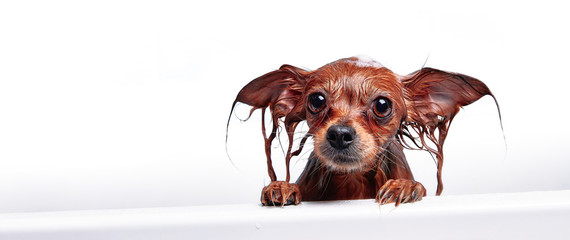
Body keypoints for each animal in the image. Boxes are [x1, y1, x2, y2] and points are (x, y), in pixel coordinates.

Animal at [229, 56, 494, 206]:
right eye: (316, 100)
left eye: (382, 105)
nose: (339, 134)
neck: (352, 179)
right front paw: (282, 186)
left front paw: (405, 186)